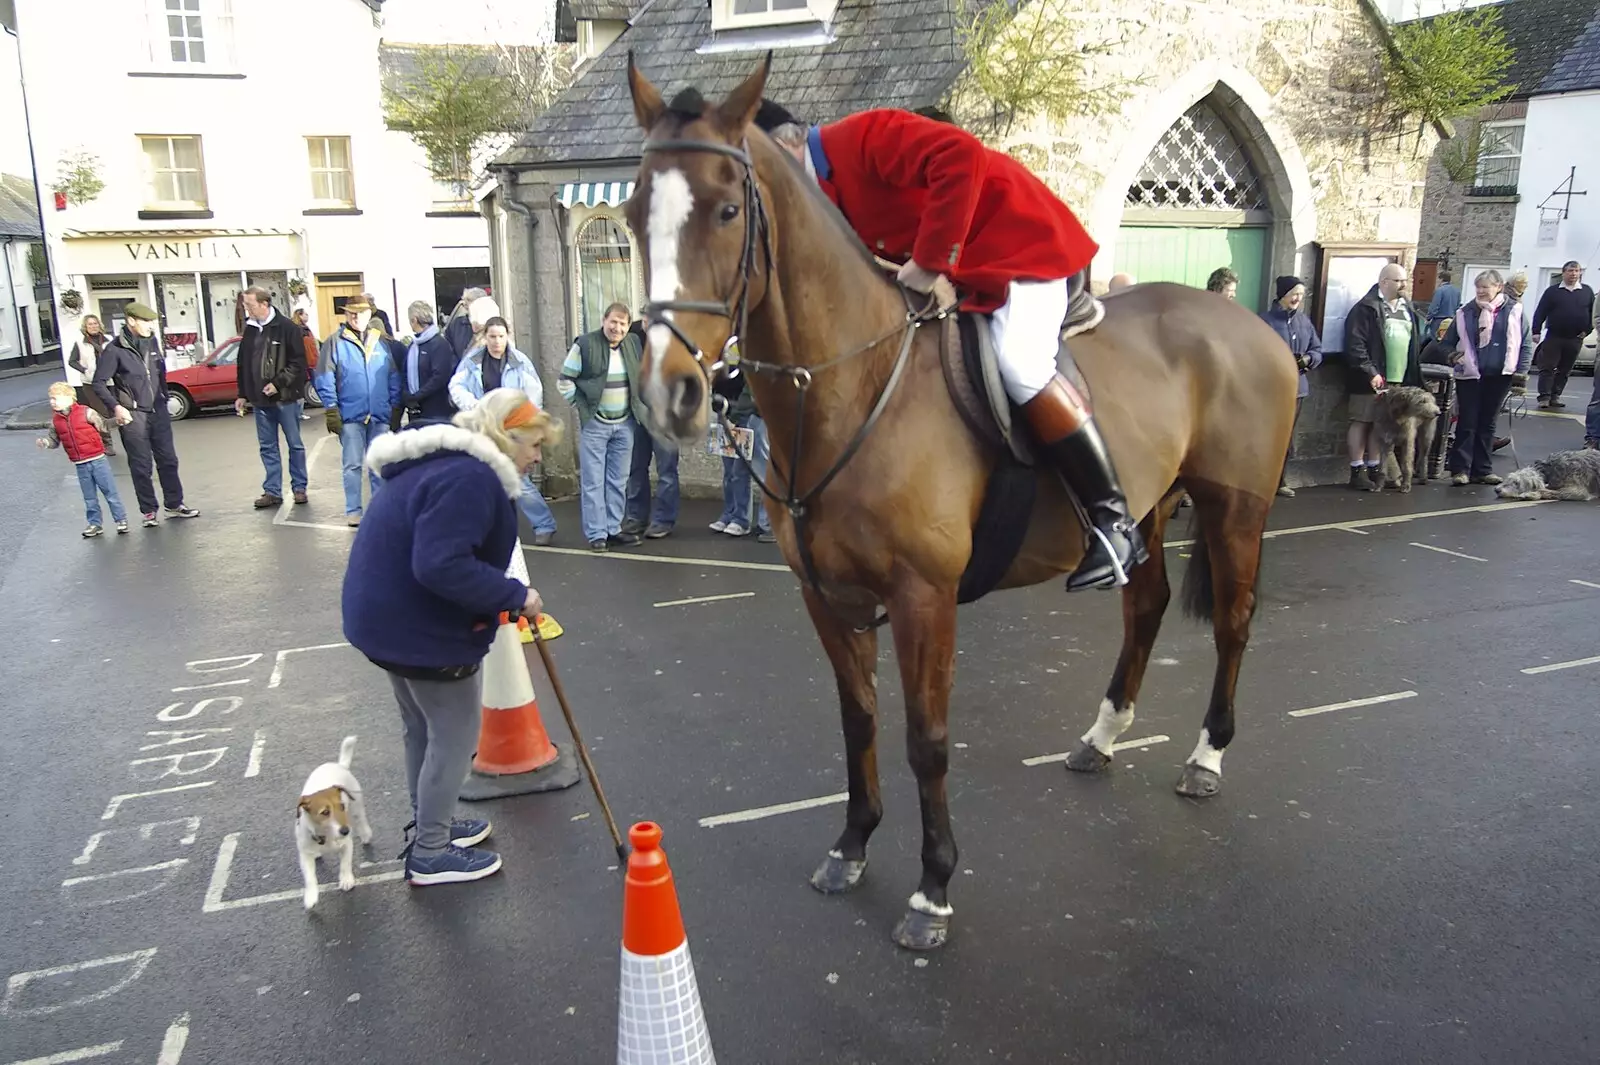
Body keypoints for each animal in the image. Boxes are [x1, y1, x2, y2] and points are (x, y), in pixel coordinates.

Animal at [296, 735, 372, 908]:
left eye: (342, 806)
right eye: (325, 812)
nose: (345, 830)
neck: (326, 836)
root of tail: (339, 765)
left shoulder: (347, 844)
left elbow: (345, 863)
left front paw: (346, 880)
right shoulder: (304, 855)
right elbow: (310, 878)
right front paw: (311, 896)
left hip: (357, 806)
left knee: (361, 820)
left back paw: (366, 835)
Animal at [624, 59, 1299, 946]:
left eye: (728, 209)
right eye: (632, 213)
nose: (669, 394)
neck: (854, 384)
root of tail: (1249, 321)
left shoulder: (924, 597)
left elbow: (928, 738)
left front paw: (932, 888)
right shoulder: (827, 596)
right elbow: (860, 719)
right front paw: (852, 843)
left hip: (1234, 510)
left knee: (1233, 622)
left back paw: (1206, 755)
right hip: (1151, 506)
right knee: (1145, 604)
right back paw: (1102, 733)